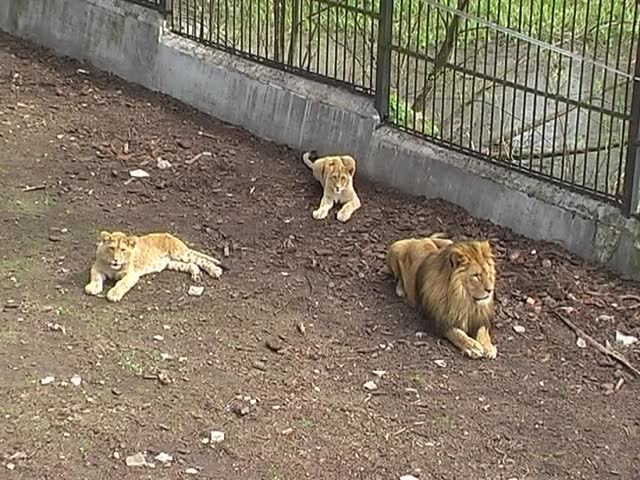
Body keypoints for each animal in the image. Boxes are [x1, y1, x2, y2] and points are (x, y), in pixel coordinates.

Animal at [84, 231, 224, 302]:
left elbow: (122, 284)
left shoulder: (132, 275)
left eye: (123, 250)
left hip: (181, 253)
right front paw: (92, 287)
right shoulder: (96, 268)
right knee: (191, 264)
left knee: (201, 260)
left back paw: (215, 270)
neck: (113, 268)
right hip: (171, 263)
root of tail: (169, 234)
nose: (116, 260)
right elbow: (95, 278)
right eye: (112, 248)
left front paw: (114, 294)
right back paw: (196, 275)